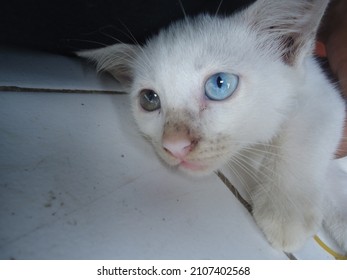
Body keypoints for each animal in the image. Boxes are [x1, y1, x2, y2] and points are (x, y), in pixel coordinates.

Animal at [79, 0, 347, 254]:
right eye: (149, 99)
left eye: (219, 84)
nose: (174, 146)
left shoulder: (320, 90)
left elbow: (305, 133)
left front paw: (285, 211)